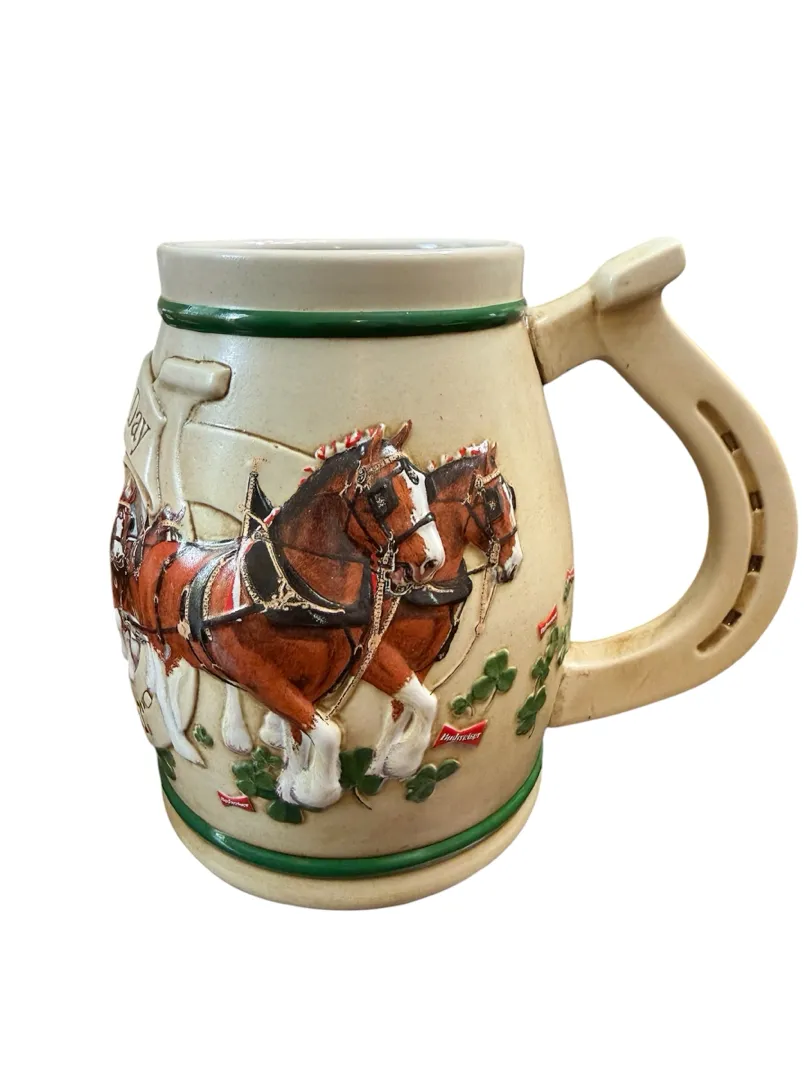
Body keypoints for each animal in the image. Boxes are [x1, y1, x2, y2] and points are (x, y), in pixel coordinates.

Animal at [112, 423, 445, 809]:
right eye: (381, 495)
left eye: (424, 485)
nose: (432, 561)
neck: (297, 594)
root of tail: (158, 543)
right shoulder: (262, 678)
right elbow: (327, 735)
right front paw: (309, 789)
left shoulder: (356, 658)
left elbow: (424, 701)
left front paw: (397, 761)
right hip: (155, 640)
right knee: (163, 688)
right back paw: (184, 746)